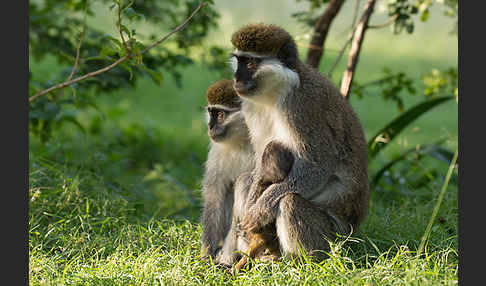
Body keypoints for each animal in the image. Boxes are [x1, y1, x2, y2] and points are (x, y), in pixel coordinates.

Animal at [200, 79, 256, 260]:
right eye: (211, 112)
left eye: (220, 114)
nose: (210, 127)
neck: (242, 141)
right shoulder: (216, 151)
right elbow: (214, 198)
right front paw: (206, 254)